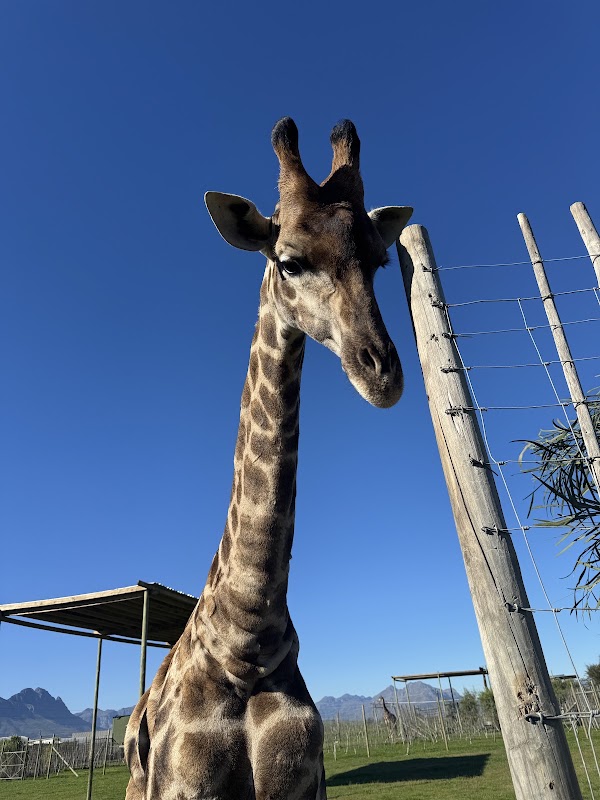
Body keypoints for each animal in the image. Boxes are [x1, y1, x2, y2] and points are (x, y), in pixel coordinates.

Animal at [124, 117, 412, 800]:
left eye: (379, 261)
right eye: (289, 261)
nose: (383, 374)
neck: (248, 639)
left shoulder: (301, 784)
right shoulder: (184, 786)